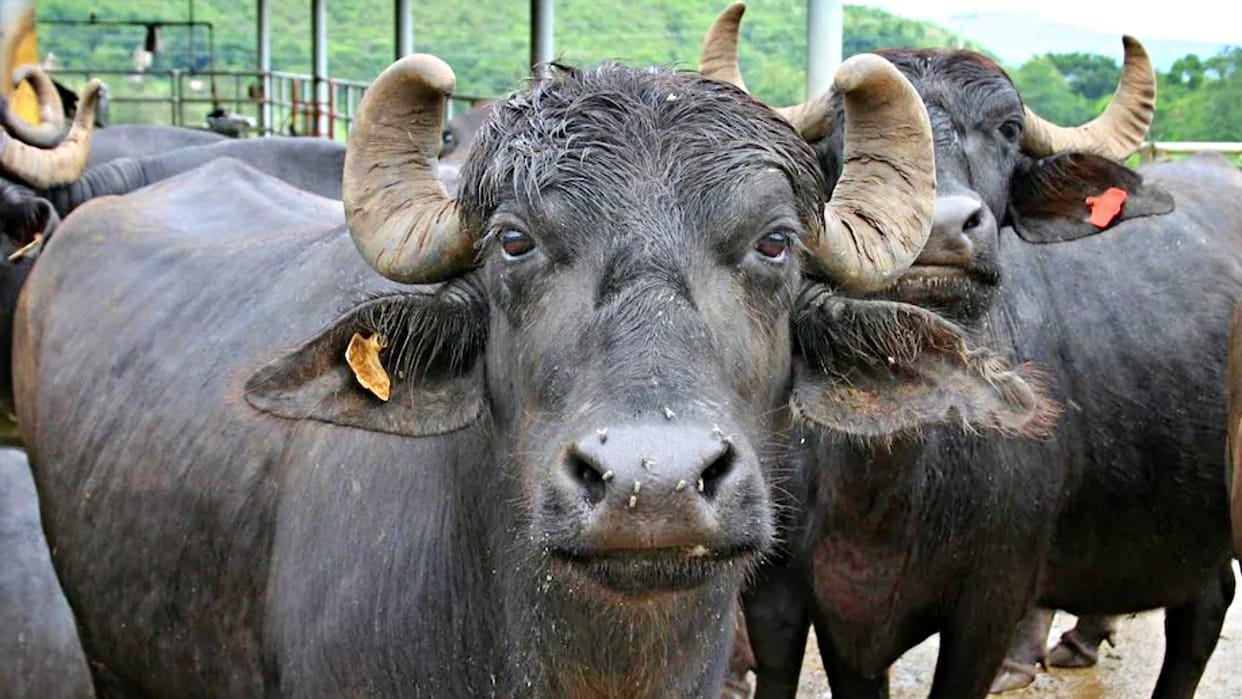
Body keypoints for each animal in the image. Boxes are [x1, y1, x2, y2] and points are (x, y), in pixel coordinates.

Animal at [702, 4, 1242, 698]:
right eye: (847, 133)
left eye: (1008, 129)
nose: (939, 227)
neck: (890, 474)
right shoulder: (812, 606)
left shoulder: (990, 606)